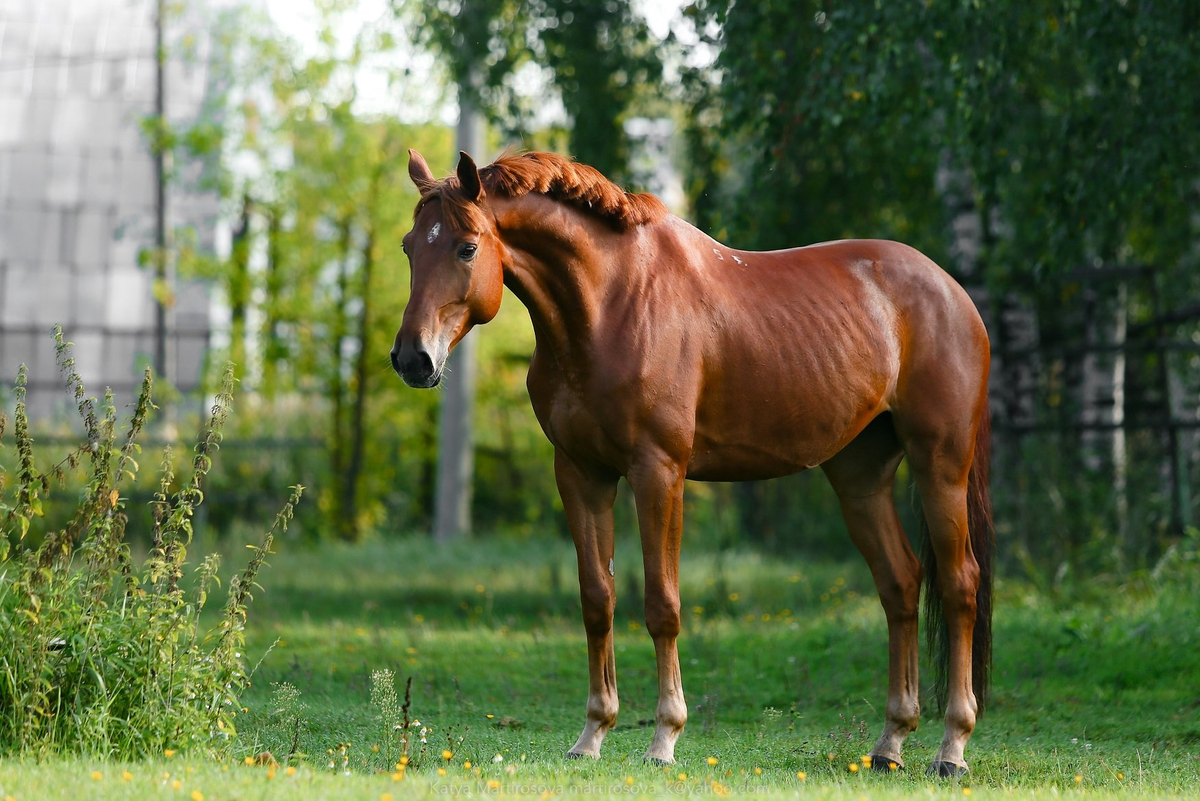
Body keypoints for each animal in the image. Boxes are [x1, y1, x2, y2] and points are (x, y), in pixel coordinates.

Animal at [393, 149, 993, 777]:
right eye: (410, 246)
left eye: (466, 247)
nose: (412, 359)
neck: (609, 306)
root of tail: (952, 292)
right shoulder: (581, 473)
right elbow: (597, 599)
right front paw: (592, 734)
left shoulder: (658, 471)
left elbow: (662, 604)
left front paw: (664, 738)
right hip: (860, 477)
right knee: (900, 582)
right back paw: (890, 743)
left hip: (940, 465)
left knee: (960, 585)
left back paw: (952, 747)